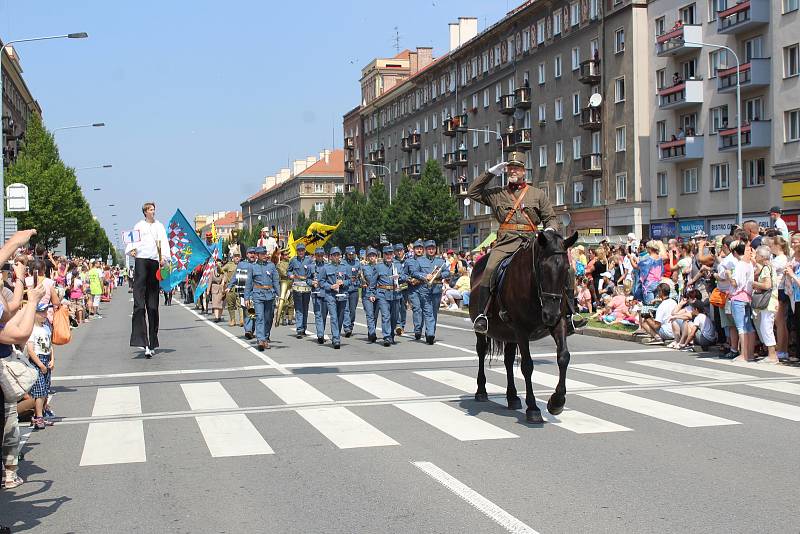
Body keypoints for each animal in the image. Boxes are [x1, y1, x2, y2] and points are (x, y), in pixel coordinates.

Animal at [468, 232, 576, 426]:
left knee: (508, 360)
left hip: (510, 334)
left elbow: (563, 357)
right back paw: (481, 391)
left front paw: (557, 402)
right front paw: (533, 408)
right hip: (486, 331)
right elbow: (527, 365)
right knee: (482, 351)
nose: (550, 313)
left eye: (566, 269)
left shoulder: (559, 323)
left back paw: (512, 397)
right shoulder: (521, 329)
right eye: (543, 267)